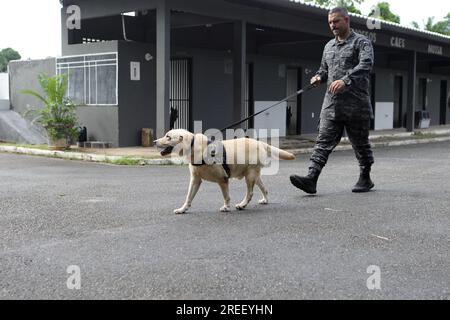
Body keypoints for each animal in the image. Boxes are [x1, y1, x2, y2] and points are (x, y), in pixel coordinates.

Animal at [155, 129, 296, 214]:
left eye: (168, 137)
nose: (155, 141)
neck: (194, 147)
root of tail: (259, 143)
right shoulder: (195, 179)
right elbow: (189, 197)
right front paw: (182, 209)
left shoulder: (222, 179)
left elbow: (226, 196)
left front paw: (226, 207)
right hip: (253, 174)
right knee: (264, 188)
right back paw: (264, 200)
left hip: (250, 175)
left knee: (250, 193)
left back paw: (242, 205)